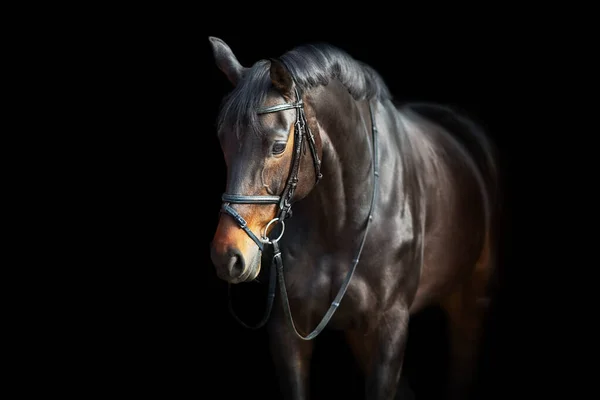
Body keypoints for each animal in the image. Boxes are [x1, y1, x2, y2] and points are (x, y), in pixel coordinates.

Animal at [209, 35, 500, 400]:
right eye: (223, 141)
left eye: (277, 146)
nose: (228, 255)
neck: (342, 220)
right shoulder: (288, 332)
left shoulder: (390, 327)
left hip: (471, 300)